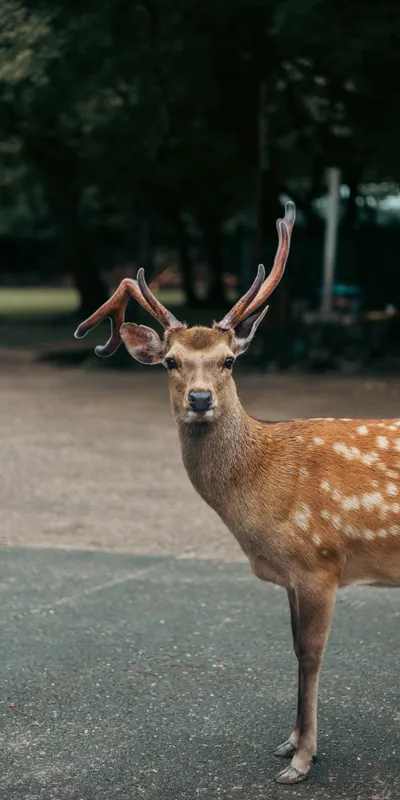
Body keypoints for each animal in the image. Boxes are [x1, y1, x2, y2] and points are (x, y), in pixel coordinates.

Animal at [74, 201, 400, 785]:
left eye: (229, 359)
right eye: (171, 361)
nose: (201, 399)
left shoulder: (320, 561)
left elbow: (310, 656)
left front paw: (301, 759)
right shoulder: (294, 574)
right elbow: (292, 649)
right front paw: (288, 741)